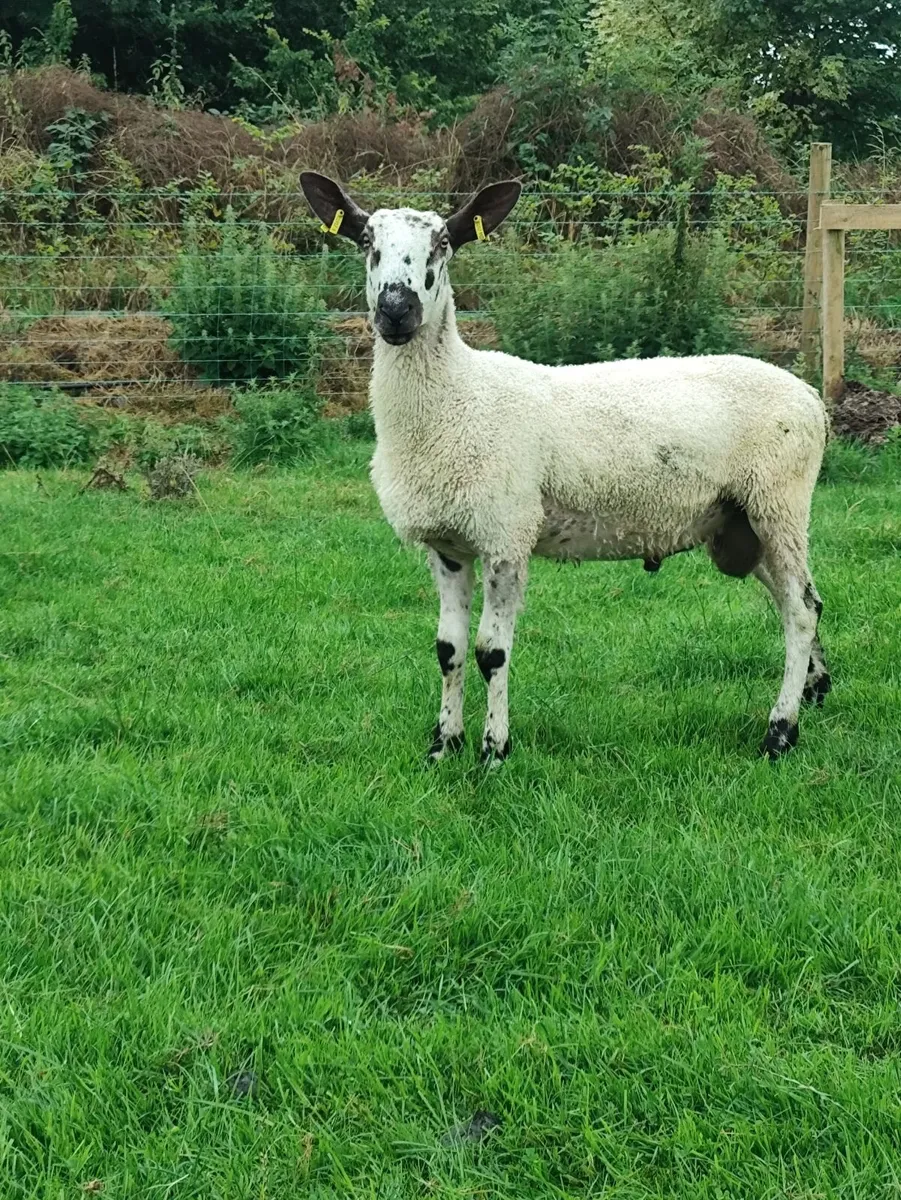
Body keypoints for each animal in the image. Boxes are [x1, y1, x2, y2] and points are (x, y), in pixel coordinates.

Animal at [300, 171, 831, 762]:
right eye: (367, 243)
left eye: (443, 245)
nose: (396, 309)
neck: (458, 396)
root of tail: (812, 398)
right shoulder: (449, 545)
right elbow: (449, 649)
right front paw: (443, 747)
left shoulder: (506, 535)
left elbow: (491, 653)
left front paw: (494, 750)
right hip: (741, 522)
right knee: (800, 604)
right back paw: (814, 691)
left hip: (779, 502)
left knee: (801, 611)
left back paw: (779, 733)